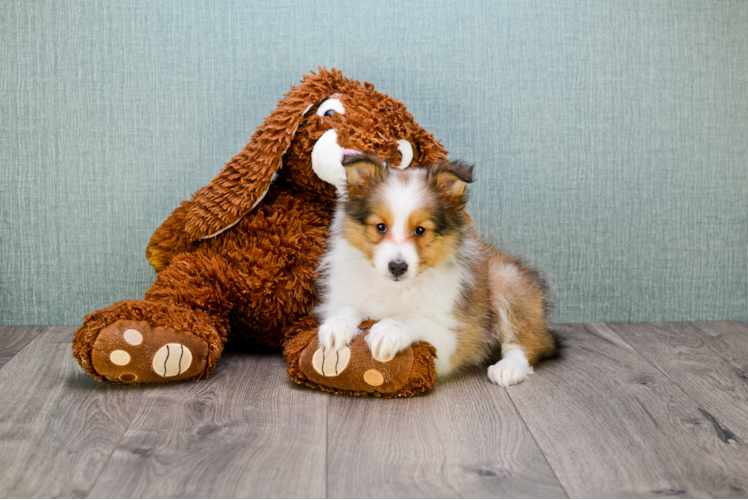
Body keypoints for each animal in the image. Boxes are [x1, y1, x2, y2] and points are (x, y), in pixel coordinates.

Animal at [316, 152, 556, 386]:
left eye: (421, 230)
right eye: (380, 227)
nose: (397, 267)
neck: (395, 288)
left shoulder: (453, 340)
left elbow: (414, 318)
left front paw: (389, 330)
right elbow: (348, 307)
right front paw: (336, 326)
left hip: (506, 279)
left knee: (527, 342)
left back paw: (508, 369)